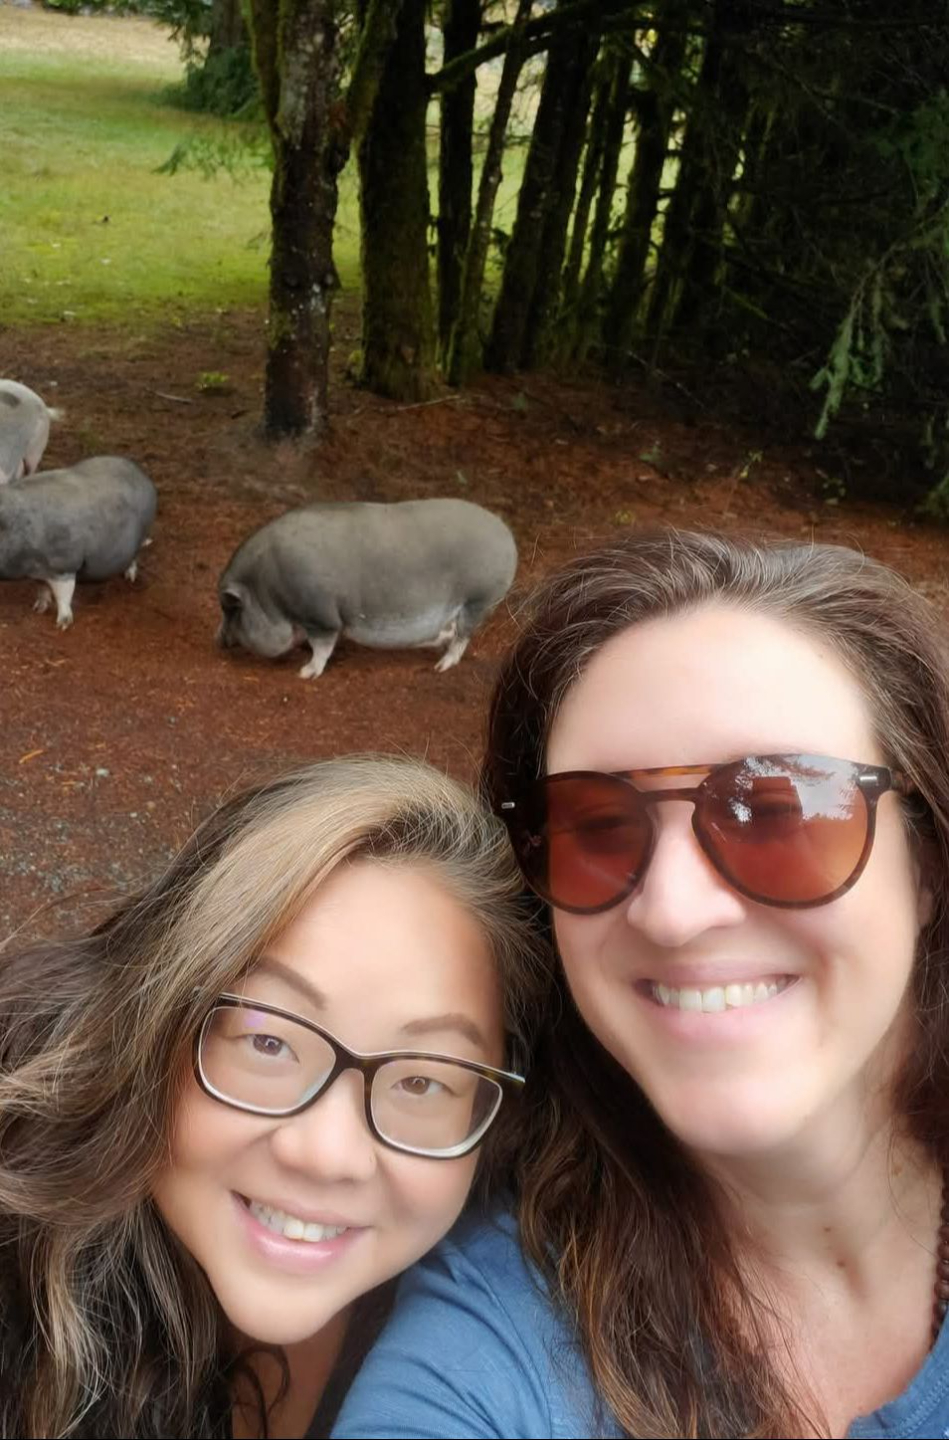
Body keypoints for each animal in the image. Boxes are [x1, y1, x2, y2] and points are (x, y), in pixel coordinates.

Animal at [0, 456, 157, 629]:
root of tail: (143, 476)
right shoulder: (37, 571)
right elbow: (42, 588)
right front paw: (38, 609)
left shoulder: (65, 566)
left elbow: (63, 596)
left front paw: (62, 625)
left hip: (142, 533)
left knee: (135, 556)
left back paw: (130, 578)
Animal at [217, 497, 518, 679]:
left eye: (232, 611)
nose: (217, 641)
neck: (269, 592)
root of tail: (506, 533)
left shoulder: (321, 617)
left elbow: (322, 646)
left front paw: (305, 673)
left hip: (479, 599)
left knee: (463, 636)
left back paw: (440, 667)